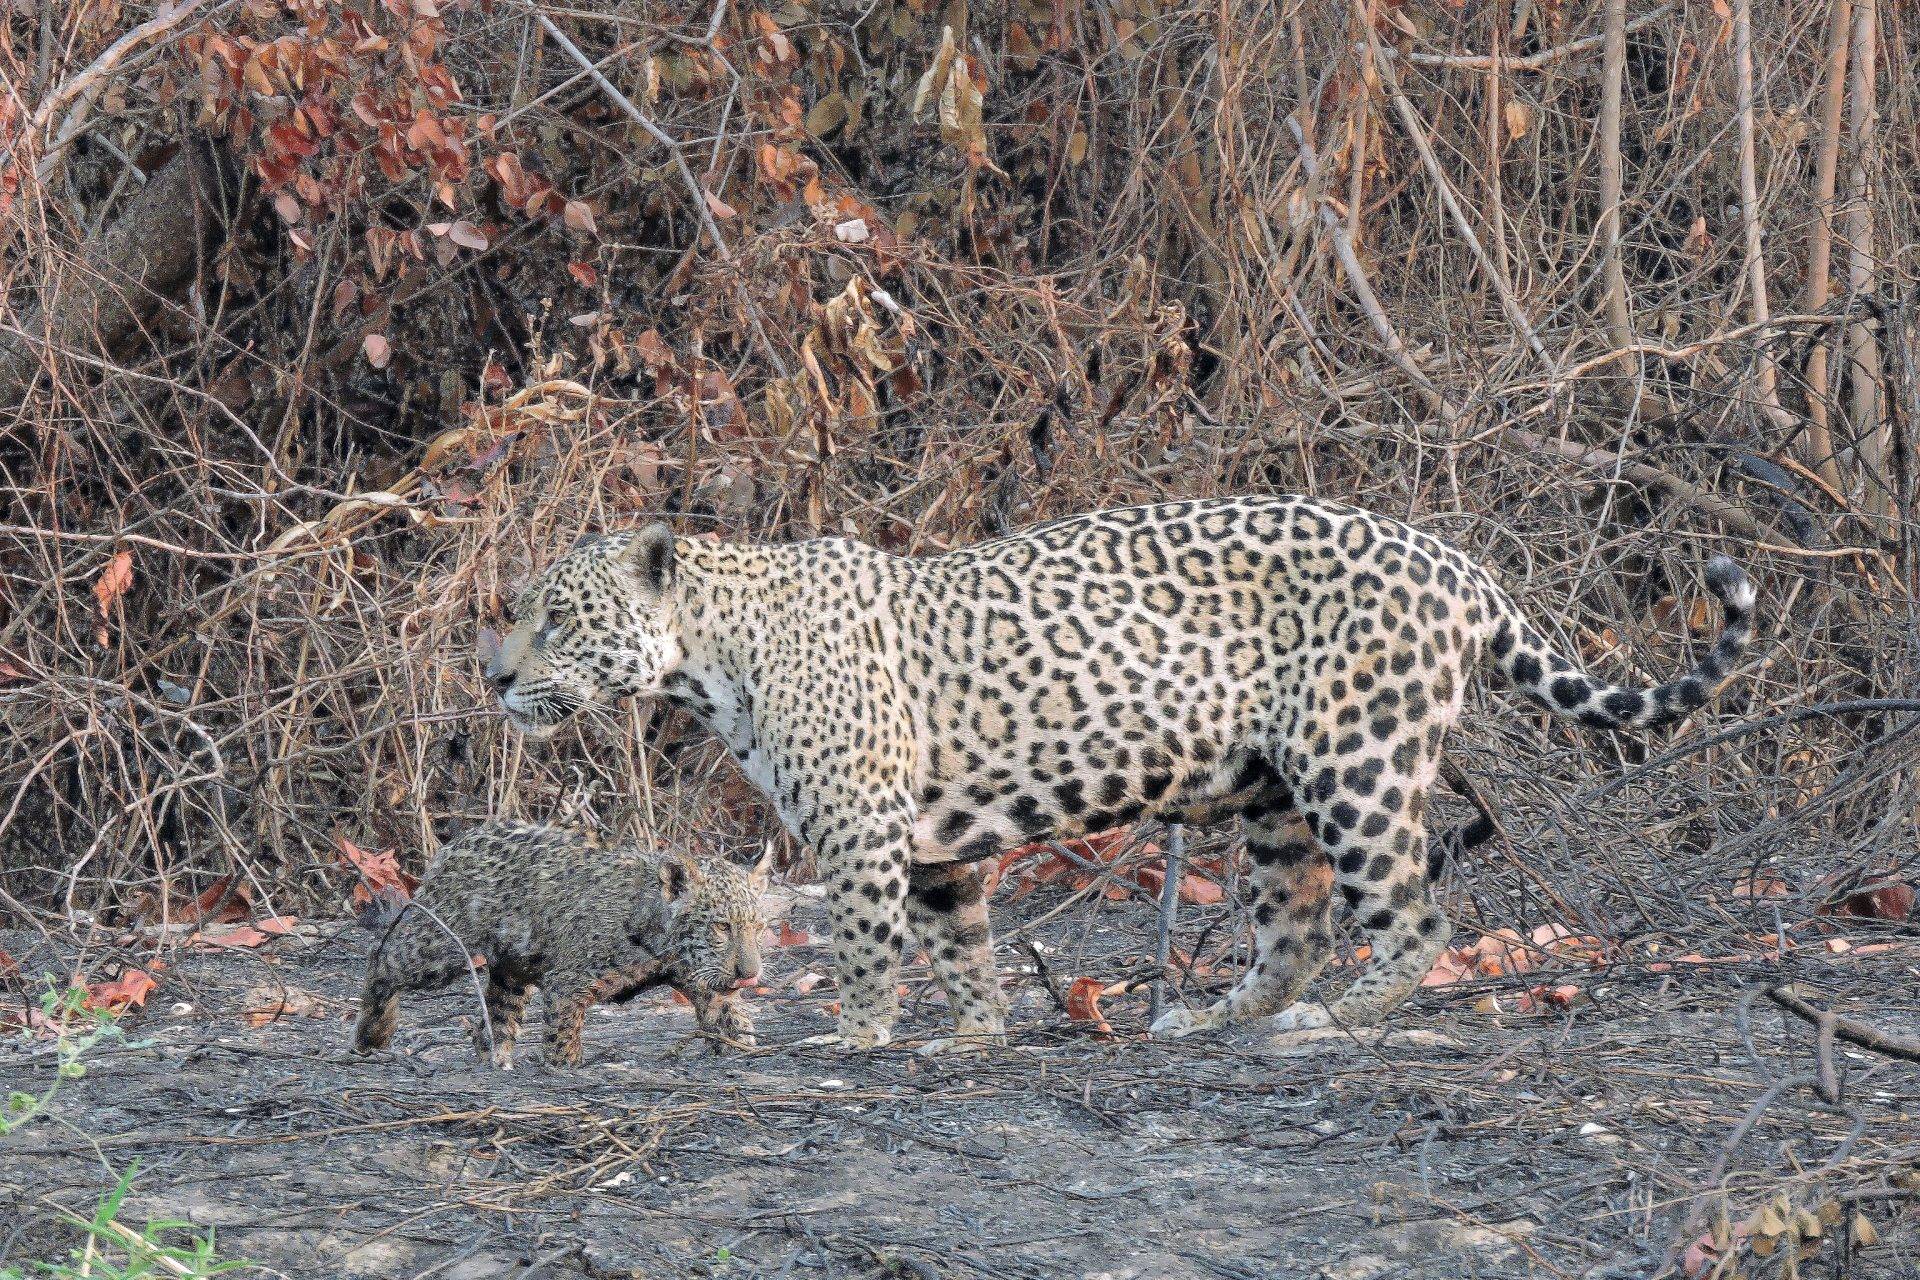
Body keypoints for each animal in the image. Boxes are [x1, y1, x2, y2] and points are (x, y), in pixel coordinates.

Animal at [352, 820, 770, 1068]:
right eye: (722, 927)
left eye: (758, 927)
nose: (749, 974)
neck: (660, 937)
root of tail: (455, 844)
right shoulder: (568, 985)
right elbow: (562, 1038)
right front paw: (563, 1066)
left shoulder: (700, 978)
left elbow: (729, 1012)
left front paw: (737, 1042)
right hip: (441, 947)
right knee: (383, 956)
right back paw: (372, 1033)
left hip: (513, 967)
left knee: (497, 1013)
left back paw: (495, 1057)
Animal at [482, 496, 1753, 1049]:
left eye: (558, 617)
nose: (491, 677)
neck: (712, 656)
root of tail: (1459, 563)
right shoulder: (938, 850)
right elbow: (962, 946)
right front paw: (974, 1034)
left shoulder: (861, 829)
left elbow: (865, 945)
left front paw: (857, 1035)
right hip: (1275, 797)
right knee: (1295, 928)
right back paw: (1215, 1014)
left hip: (1357, 759)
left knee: (1417, 912)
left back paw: (1339, 1017)